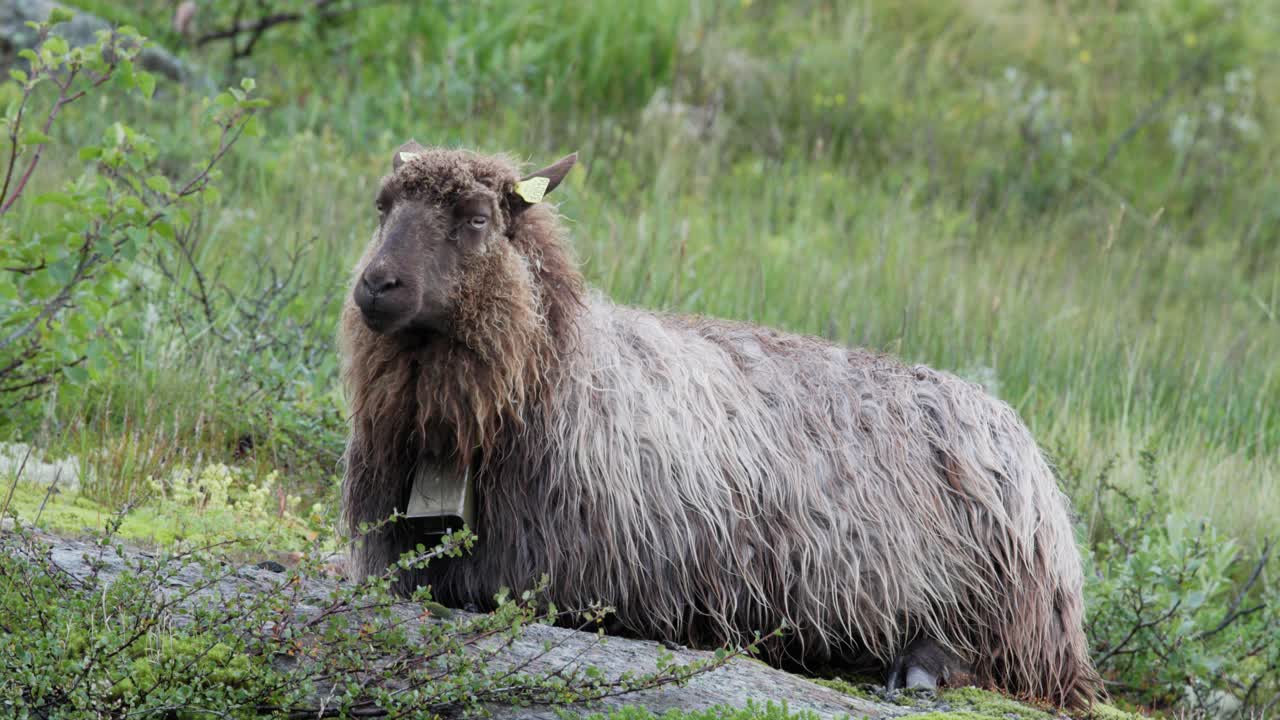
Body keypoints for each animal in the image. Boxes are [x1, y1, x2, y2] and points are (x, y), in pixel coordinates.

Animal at [340, 142, 1103, 708]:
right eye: (382, 206)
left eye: (475, 218)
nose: (376, 285)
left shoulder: (563, 580)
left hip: (1009, 600)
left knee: (1001, 660)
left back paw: (916, 667)